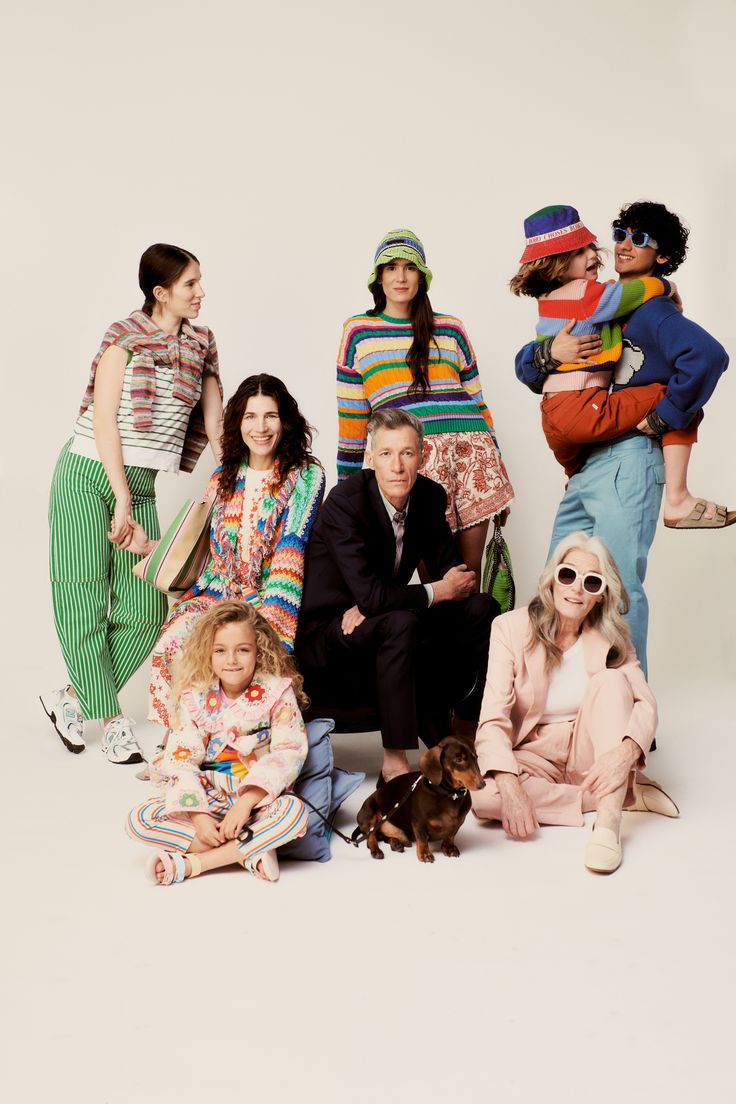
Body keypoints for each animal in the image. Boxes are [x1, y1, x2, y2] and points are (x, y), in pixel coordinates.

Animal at [355, 737, 483, 865]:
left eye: (476, 757)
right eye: (458, 760)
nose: (482, 784)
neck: (450, 795)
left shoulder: (458, 822)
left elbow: (450, 835)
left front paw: (449, 848)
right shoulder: (419, 823)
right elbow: (422, 839)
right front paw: (425, 854)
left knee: (384, 837)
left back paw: (395, 844)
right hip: (369, 815)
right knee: (371, 837)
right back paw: (376, 850)